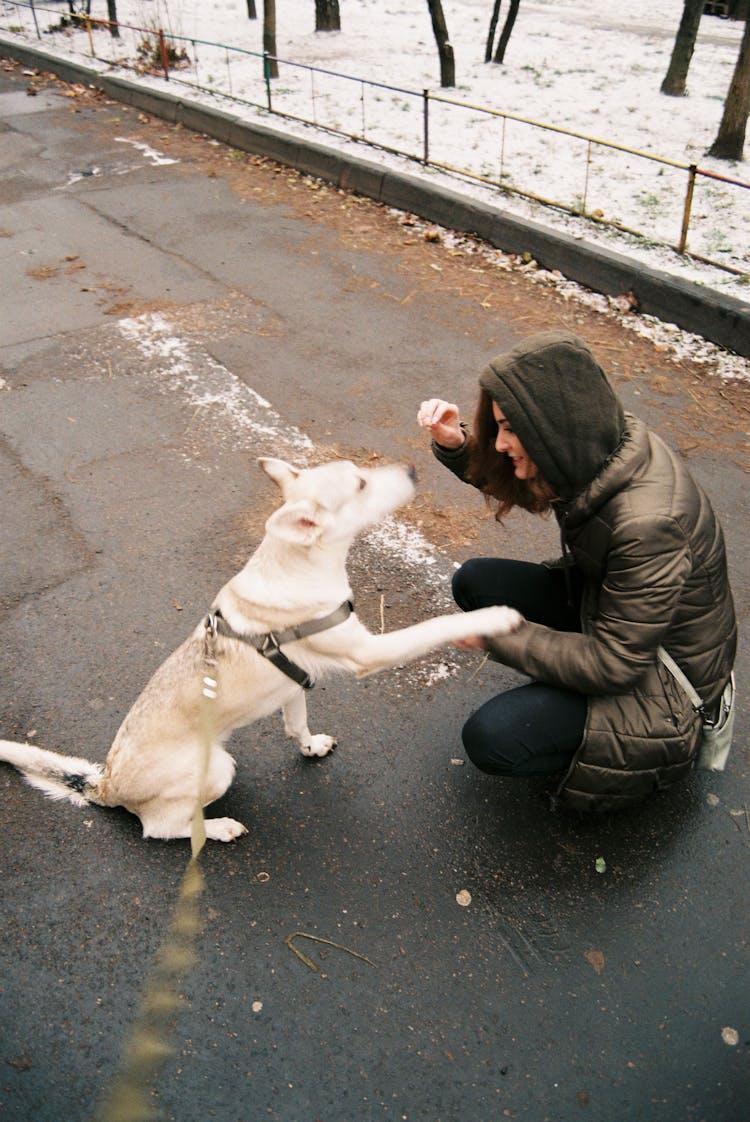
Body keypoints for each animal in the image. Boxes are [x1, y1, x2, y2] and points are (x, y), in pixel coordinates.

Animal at [0, 457, 520, 843]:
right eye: (360, 483)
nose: (413, 469)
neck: (298, 563)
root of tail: (106, 783)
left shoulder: (292, 684)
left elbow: (297, 725)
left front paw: (311, 746)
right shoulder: (368, 652)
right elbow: (438, 624)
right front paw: (496, 616)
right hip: (216, 770)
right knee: (159, 827)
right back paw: (217, 828)